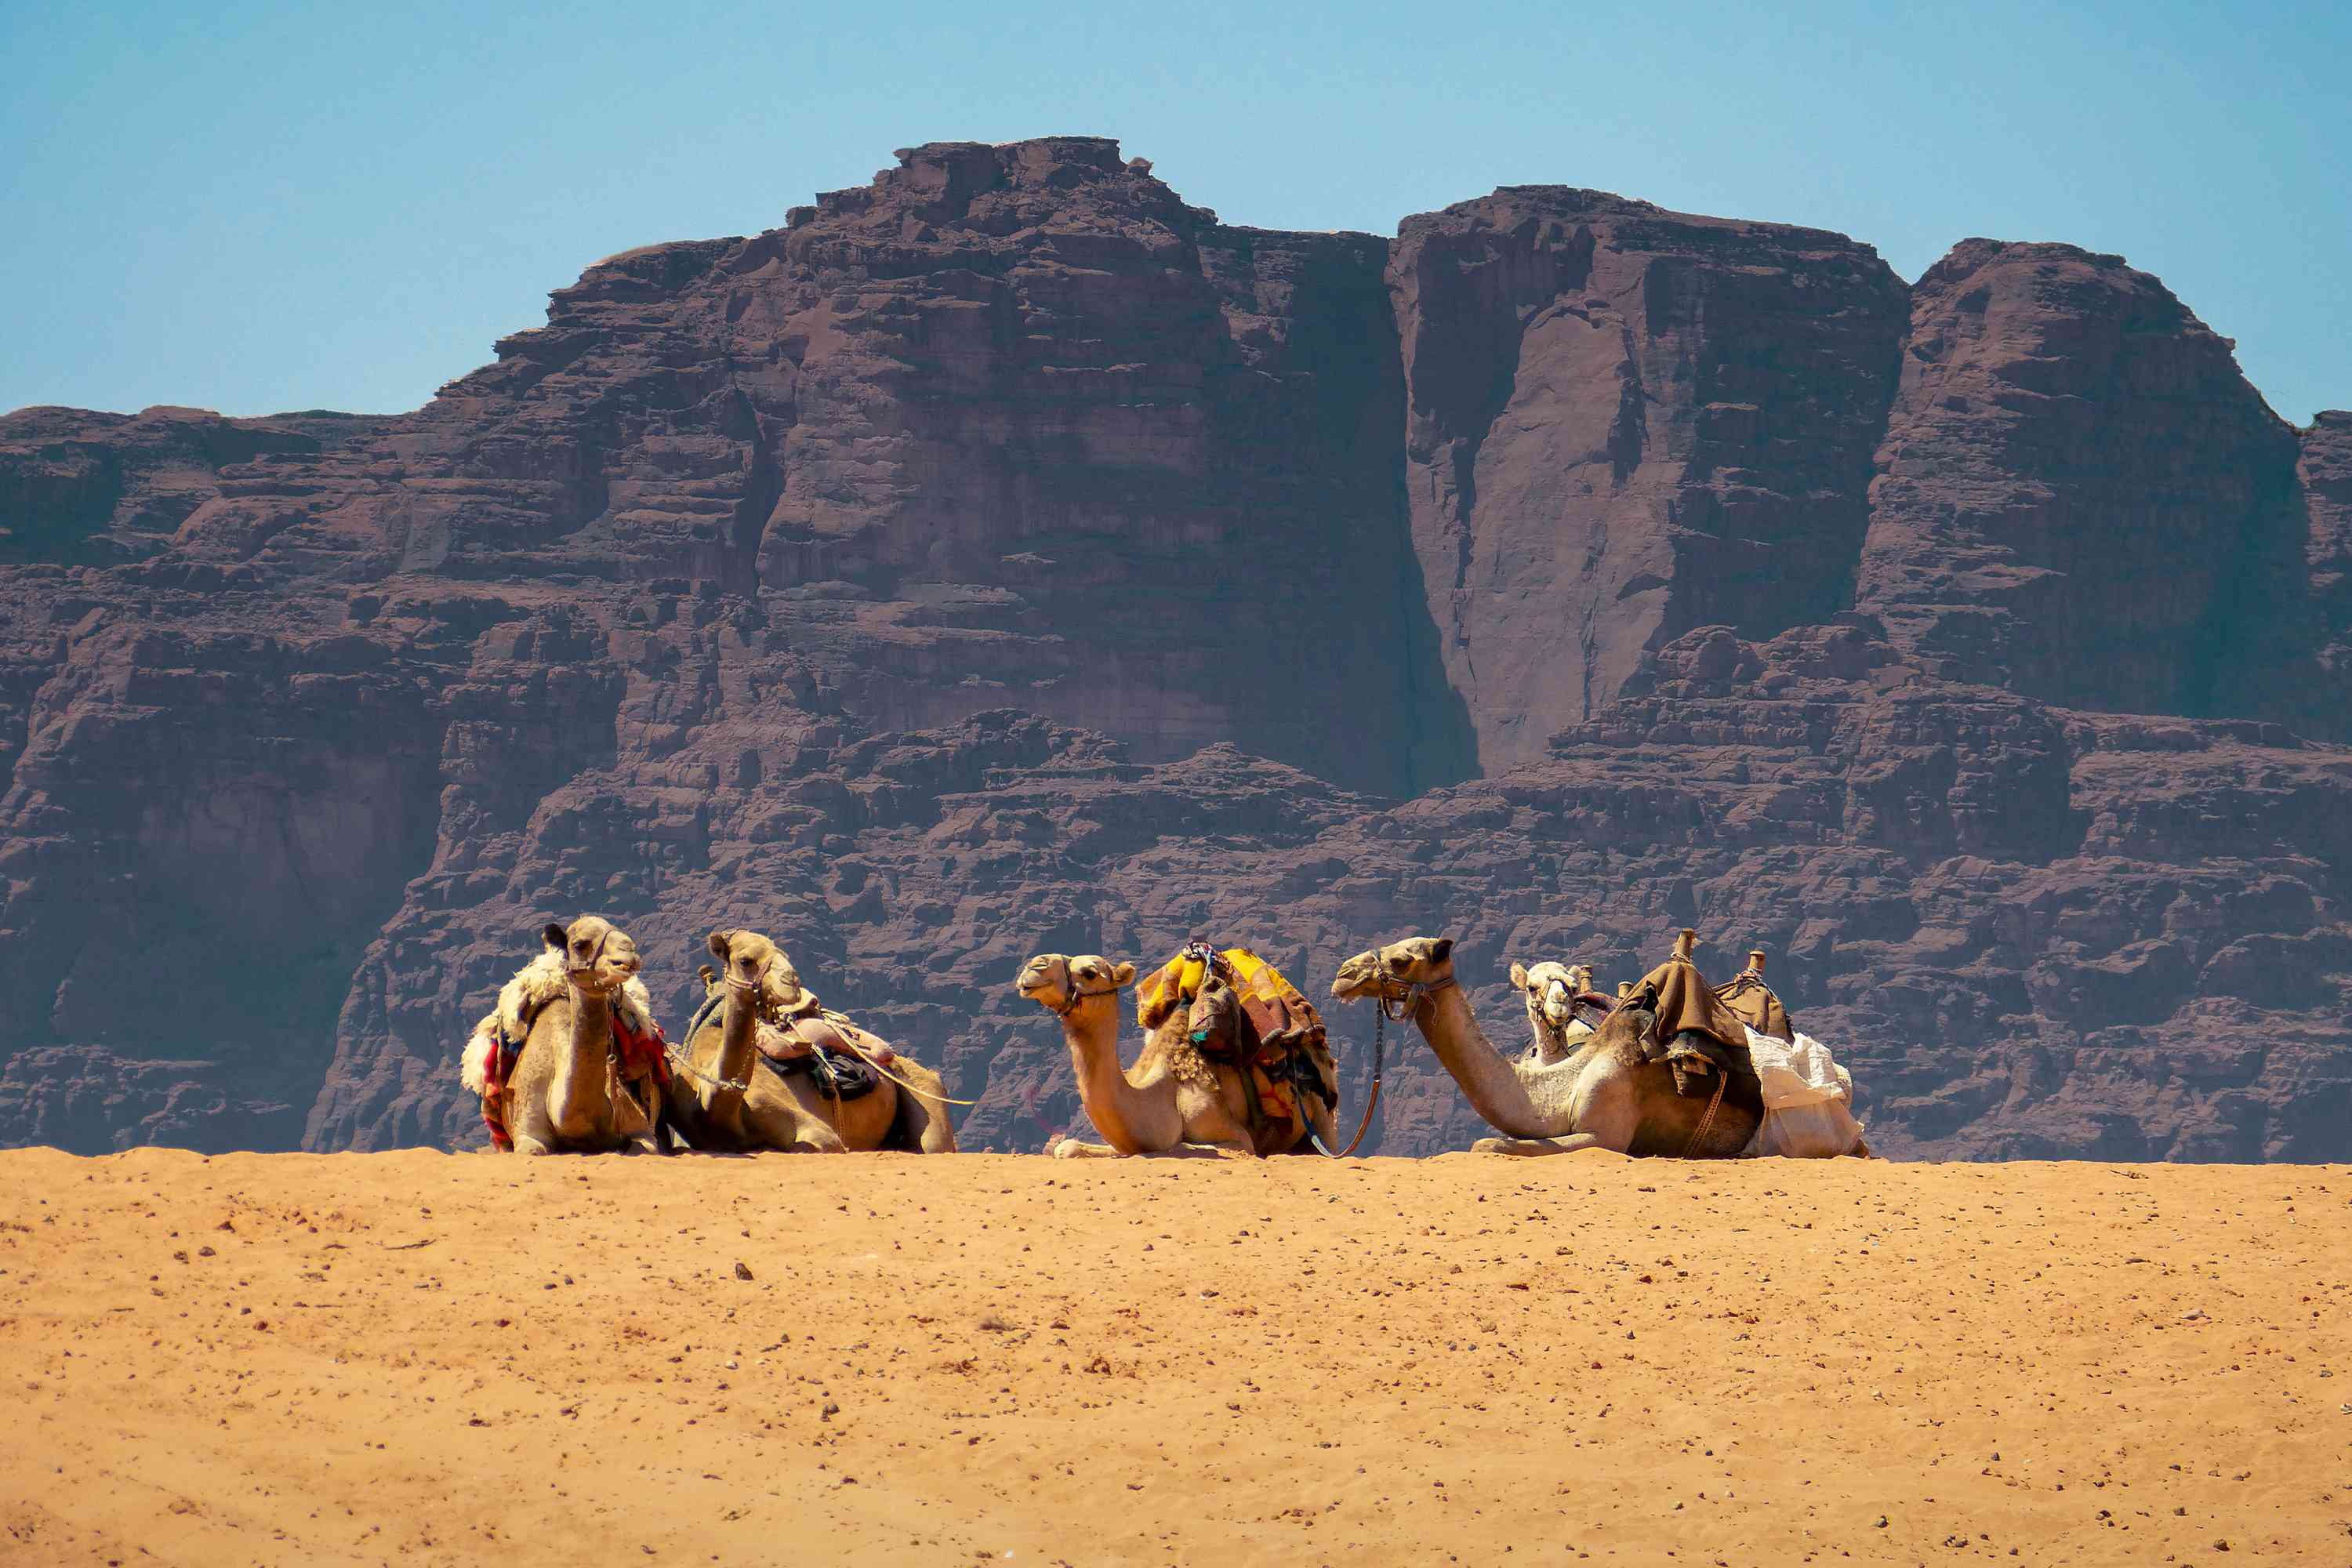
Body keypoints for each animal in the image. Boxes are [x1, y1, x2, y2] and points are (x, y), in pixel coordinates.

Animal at [661, 928, 957, 1153]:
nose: (792, 980)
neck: (714, 1104)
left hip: (924, 1096)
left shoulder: (818, 1132)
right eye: (745, 960)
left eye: (782, 953)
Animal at [1014, 952, 1340, 1158]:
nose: (1034, 966)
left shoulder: (1237, 1136)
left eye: (1090, 973)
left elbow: (1180, 1146)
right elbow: (1066, 1148)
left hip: (1323, 1113)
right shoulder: (1126, 1143)